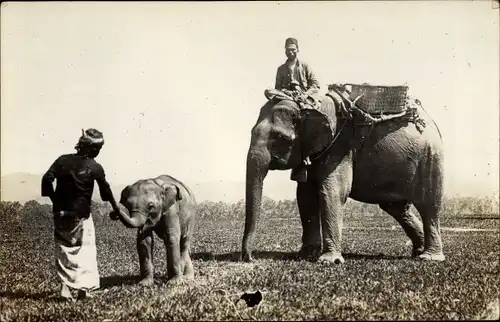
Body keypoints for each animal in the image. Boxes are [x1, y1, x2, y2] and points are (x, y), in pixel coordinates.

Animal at [241, 85, 446, 264]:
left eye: (280, 138)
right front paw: (304, 256)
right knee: (396, 208)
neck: (313, 105)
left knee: (428, 204)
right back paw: (417, 252)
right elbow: (305, 196)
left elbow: (333, 192)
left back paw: (429, 258)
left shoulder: (341, 147)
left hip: (430, 157)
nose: (249, 258)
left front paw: (329, 261)